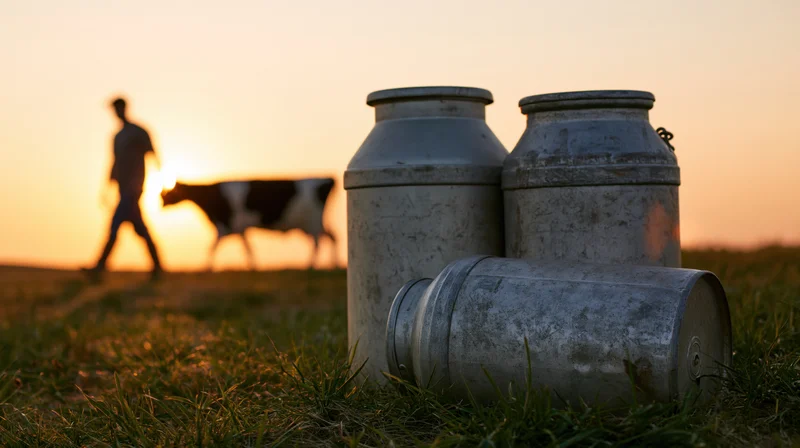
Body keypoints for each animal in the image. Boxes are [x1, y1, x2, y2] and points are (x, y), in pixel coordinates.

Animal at [160, 178, 337, 270]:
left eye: (168, 192)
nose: (160, 204)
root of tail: (324, 180)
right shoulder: (239, 229)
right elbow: (248, 249)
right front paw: (254, 267)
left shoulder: (226, 226)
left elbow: (213, 247)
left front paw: (206, 268)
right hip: (315, 223)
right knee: (331, 237)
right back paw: (332, 266)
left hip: (312, 222)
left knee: (317, 243)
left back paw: (310, 266)